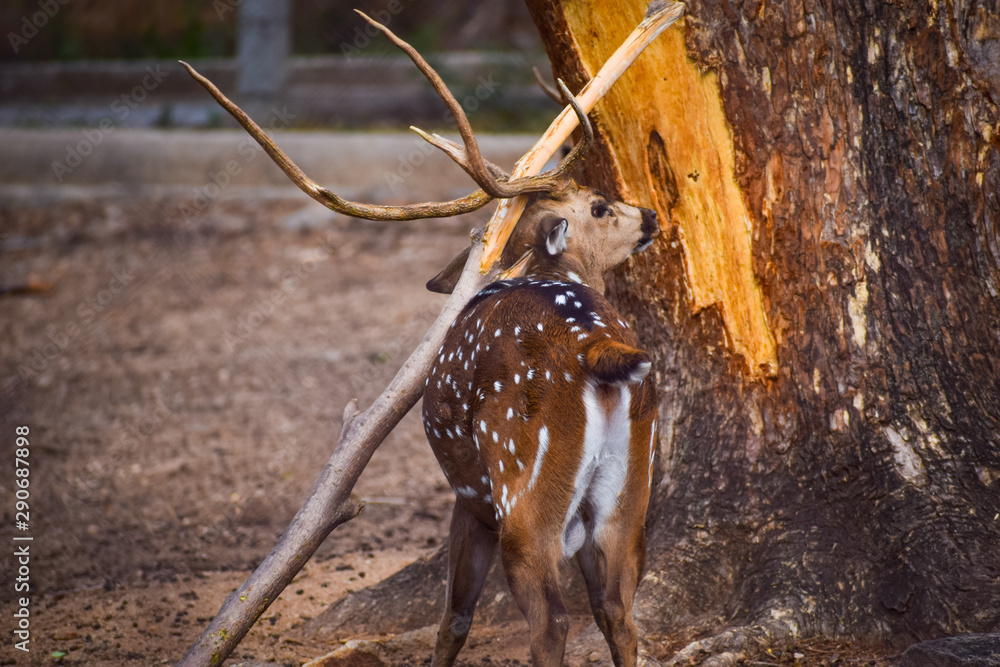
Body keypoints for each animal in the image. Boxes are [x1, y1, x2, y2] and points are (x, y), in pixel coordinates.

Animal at [175, 3, 685, 666]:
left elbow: (455, 617)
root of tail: (597, 352)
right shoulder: (478, 499)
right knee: (618, 612)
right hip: (626, 492)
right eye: (600, 206)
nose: (649, 215)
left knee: (552, 620)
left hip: (522, 488)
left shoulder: (469, 498)